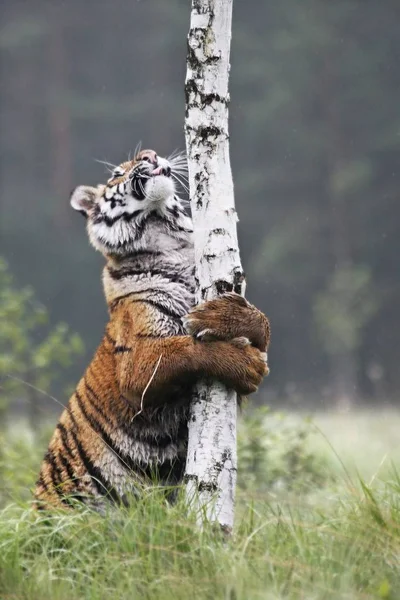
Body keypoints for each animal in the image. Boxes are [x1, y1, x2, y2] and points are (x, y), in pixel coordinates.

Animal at [34, 148, 270, 508]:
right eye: (117, 172)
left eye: (145, 155)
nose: (149, 154)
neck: (168, 242)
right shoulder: (137, 363)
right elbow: (186, 348)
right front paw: (246, 364)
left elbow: (263, 324)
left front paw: (229, 316)